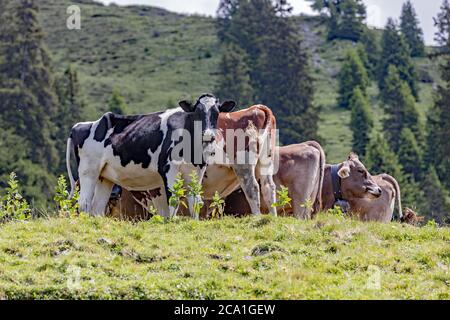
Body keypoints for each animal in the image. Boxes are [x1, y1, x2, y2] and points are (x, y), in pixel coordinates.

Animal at [67, 93, 237, 218]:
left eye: (217, 113)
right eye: (197, 112)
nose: (208, 135)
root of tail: (81, 125)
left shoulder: (197, 172)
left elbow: (195, 202)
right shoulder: (169, 170)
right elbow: (173, 201)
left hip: (105, 177)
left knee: (97, 207)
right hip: (88, 171)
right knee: (84, 203)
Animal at [106, 104, 282, 218]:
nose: (114, 194)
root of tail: (255, 109)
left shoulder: (156, 190)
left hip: (243, 165)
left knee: (252, 188)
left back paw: (257, 217)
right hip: (266, 161)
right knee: (269, 187)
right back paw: (272, 219)